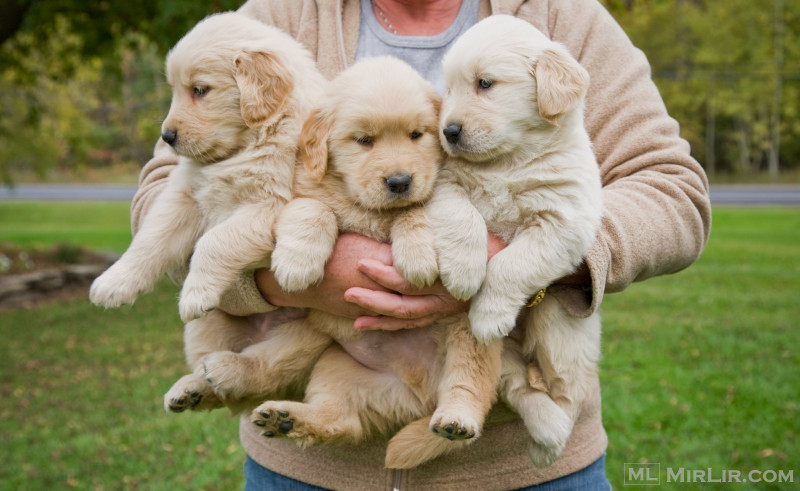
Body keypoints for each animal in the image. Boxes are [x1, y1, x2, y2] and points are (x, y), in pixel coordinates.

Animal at [197, 57, 500, 468]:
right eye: (364, 141)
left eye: (416, 135)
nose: (399, 181)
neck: (365, 207)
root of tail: (419, 394)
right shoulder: (299, 192)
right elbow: (314, 208)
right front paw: (296, 263)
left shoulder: (429, 192)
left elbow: (414, 211)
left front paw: (417, 252)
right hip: (323, 346)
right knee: (329, 411)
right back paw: (273, 408)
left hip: (471, 331)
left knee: (469, 384)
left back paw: (456, 419)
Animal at [428, 15, 604, 468]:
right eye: (448, 89)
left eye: (485, 84)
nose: (448, 131)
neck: (507, 162)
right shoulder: (444, 183)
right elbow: (463, 216)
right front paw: (465, 270)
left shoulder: (562, 221)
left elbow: (511, 264)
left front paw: (490, 311)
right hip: (486, 347)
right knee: (517, 385)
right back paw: (541, 430)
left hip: (559, 330)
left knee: (567, 392)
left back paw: (552, 441)